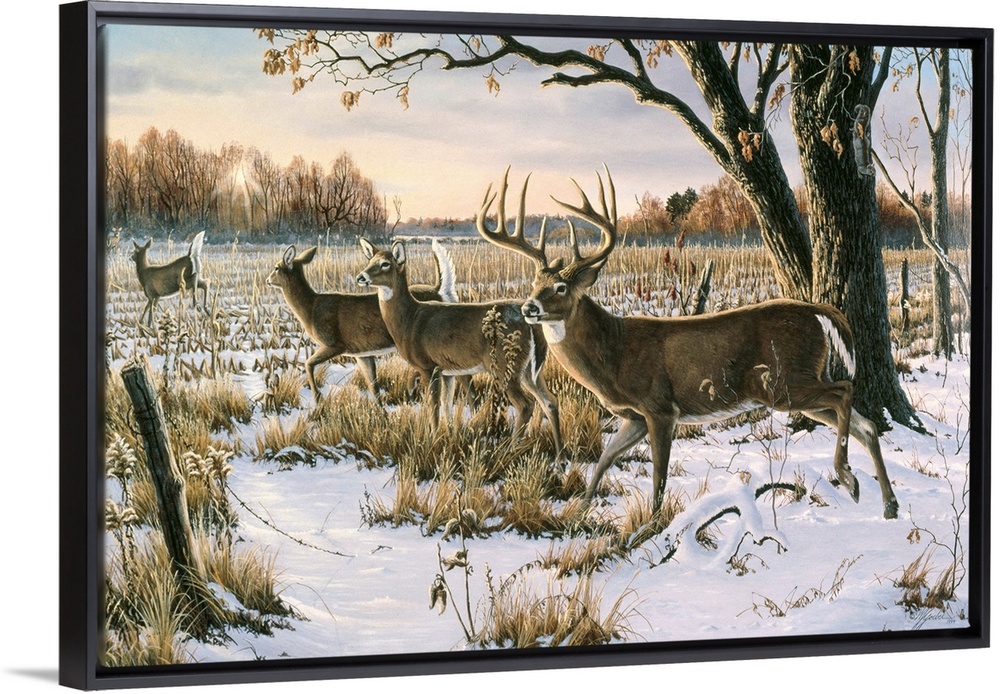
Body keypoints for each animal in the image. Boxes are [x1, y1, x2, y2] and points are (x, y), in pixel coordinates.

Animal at [268, 239, 474, 406]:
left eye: (276, 267)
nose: (268, 280)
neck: (312, 307)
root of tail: (441, 292)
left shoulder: (335, 344)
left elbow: (308, 364)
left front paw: (318, 400)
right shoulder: (362, 353)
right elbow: (372, 385)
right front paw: (381, 414)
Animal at [358, 238, 564, 456]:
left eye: (385, 264)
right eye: (370, 261)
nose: (360, 277)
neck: (409, 320)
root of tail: (532, 324)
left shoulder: (428, 366)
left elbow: (433, 407)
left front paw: (432, 441)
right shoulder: (447, 371)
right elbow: (446, 404)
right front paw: (447, 437)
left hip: (504, 364)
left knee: (525, 404)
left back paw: (508, 450)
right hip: (529, 370)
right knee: (550, 401)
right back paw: (560, 454)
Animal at [476, 166, 900, 520]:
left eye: (561, 288)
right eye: (535, 284)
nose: (529, 307)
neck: (614, 354)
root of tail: (819, 311)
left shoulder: (660, 406)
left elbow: (658, 477)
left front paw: (649, 527)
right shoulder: (634, 416)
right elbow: (604, 459)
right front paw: (578, 512)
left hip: (785, 382)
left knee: (845, 392)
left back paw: (848, 477)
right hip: (798, 386)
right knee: (866, 424)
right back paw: (888, 504)